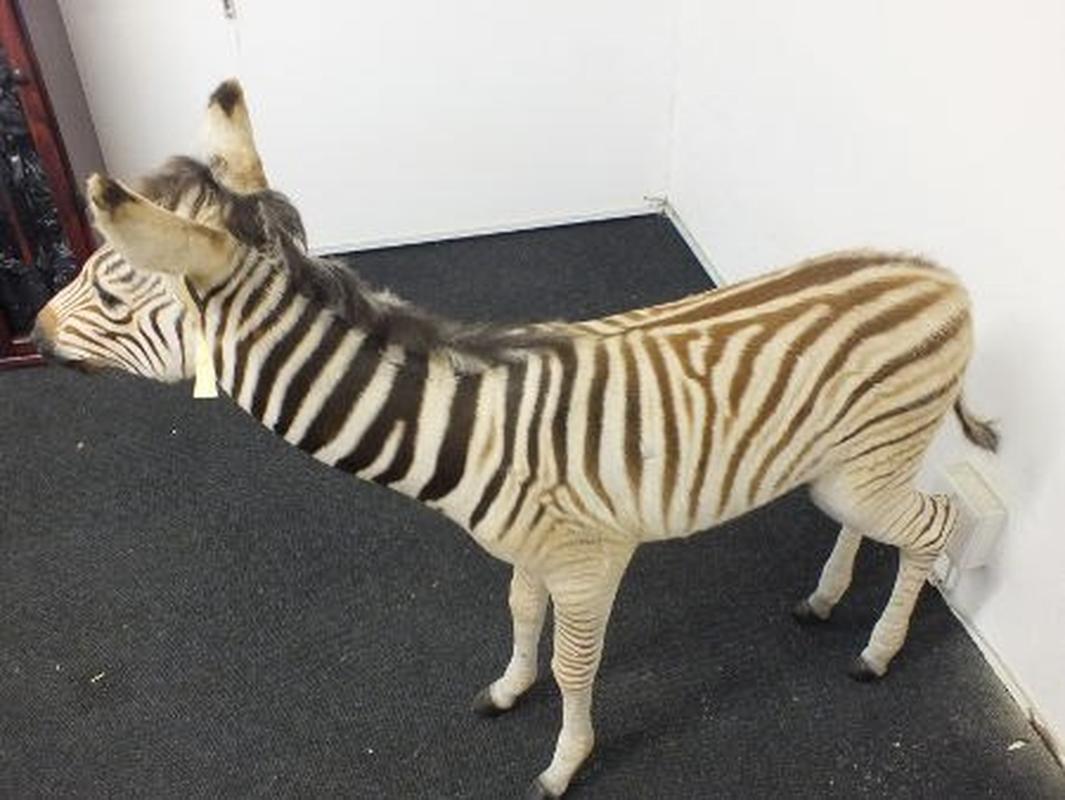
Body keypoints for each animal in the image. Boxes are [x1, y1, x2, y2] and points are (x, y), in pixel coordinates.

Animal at [32, 80, 998, 799]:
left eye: (110, 294)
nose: (33, 335)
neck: (459, 426)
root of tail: (941, 275)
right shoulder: (530, 553)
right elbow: (520, 618)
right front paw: (508, 687)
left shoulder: (589, 559)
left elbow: (576, 668)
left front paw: (563, 764)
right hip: (848, 462)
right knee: (873, 523)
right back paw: (828, 600)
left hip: (868, 459)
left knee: (938, 527)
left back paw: (877, 652)